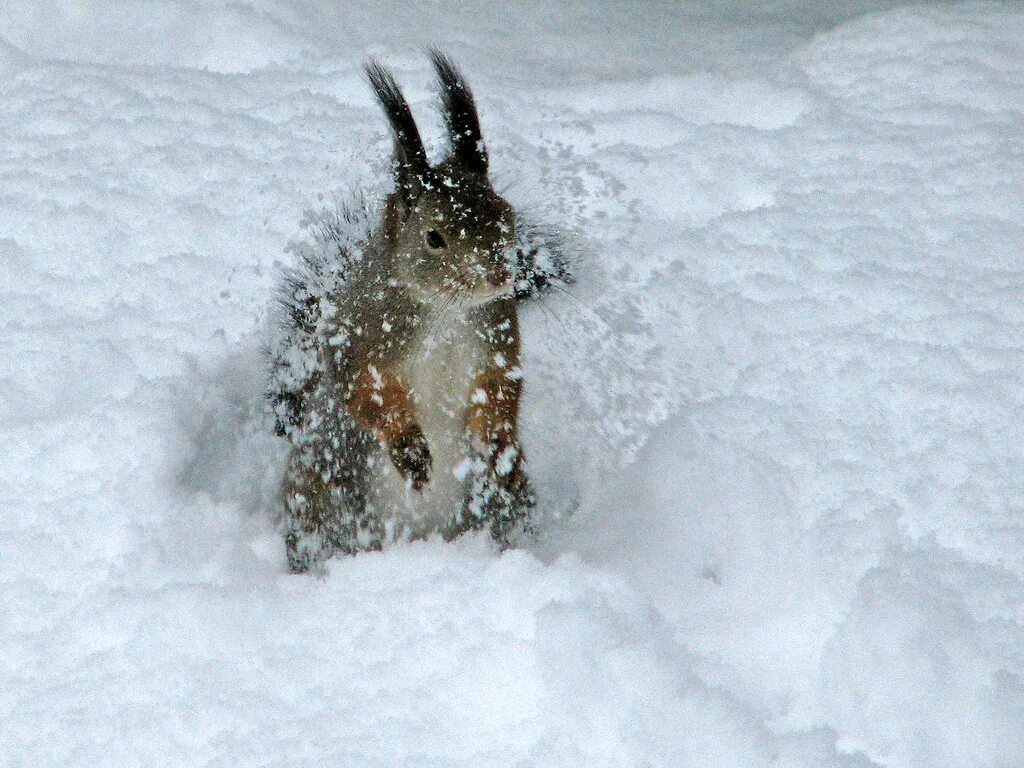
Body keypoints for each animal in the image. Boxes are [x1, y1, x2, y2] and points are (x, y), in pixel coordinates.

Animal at [266, 52, 569, 573]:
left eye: (506, 214)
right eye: (434, 237)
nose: (498, 275)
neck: (445, 311)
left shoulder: (499, 339)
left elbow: (500, 389)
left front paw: (497, 444)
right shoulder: (361, 336)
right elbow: (366, 390)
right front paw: (410, 447)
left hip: (505, 504)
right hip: (325, 495)